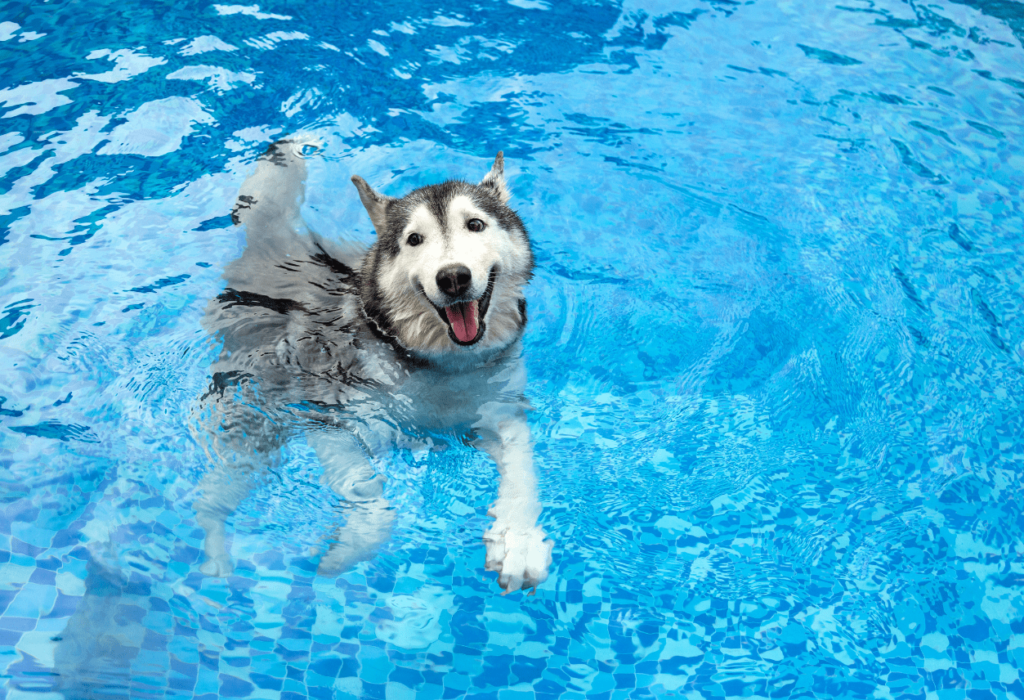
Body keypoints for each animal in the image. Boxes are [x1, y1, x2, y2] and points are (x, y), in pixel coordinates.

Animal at [191, 139, 552, 593]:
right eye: (414, 239)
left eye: (475, 224)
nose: (453, 277)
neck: (440, 362)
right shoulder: (327, 416)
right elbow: (371, 492)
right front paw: (349, 546)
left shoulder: (501, 412)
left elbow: (523, 470)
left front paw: (519, 540)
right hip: (255, 428)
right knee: (214, 494)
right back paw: (214, 552)